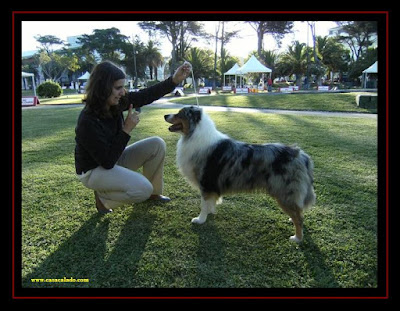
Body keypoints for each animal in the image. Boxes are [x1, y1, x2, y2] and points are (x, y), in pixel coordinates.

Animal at [164, 107, 314, 244]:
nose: (165, 115)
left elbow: (203, 204)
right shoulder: (211, 187)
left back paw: (297, 238)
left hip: (284, 193)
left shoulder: (206, 183)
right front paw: (210, 212)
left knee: (299, 218)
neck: (194, 134)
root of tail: (300, 155)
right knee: (298, 212)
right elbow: (210, 202)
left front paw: (200, 219)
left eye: (180, 114)